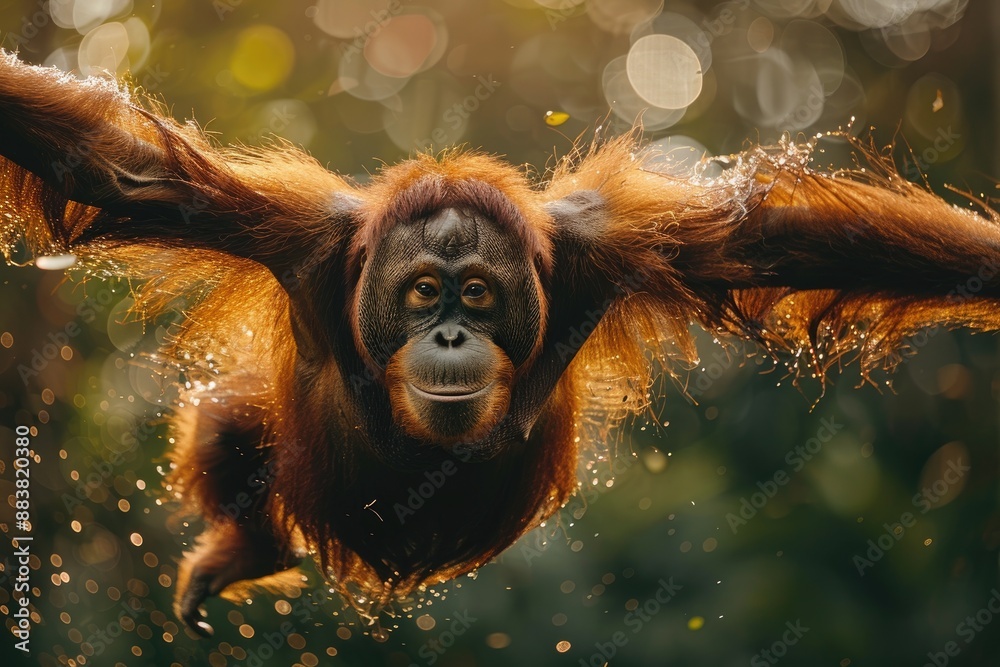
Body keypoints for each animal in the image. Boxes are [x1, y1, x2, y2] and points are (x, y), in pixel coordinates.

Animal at [2, 51, 1000, 637]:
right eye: (422, 293)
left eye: (478, 293)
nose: (450, 329)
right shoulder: (302, 238)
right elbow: (119, 168)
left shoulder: (603, 252)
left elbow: (780, 241)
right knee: (227, 421)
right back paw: (248, 551)